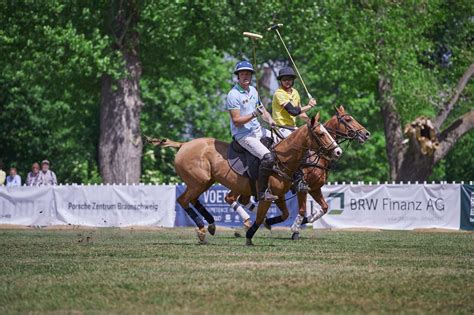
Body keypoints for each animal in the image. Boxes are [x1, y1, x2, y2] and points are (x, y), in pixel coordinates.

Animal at [148, 113, 340, 244]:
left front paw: (269, 225)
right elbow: (265, 216)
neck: (283, 159)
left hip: (205, 182)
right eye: (321, 134)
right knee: (183, 200)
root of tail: (183, 144)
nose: (338, 151)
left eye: (328, 132)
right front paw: (250, 236)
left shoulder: (280, 194)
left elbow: (285, 213)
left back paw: (211, 225)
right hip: (198, 181)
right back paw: (203, 229)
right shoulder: (269, 195)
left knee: (195, 200)